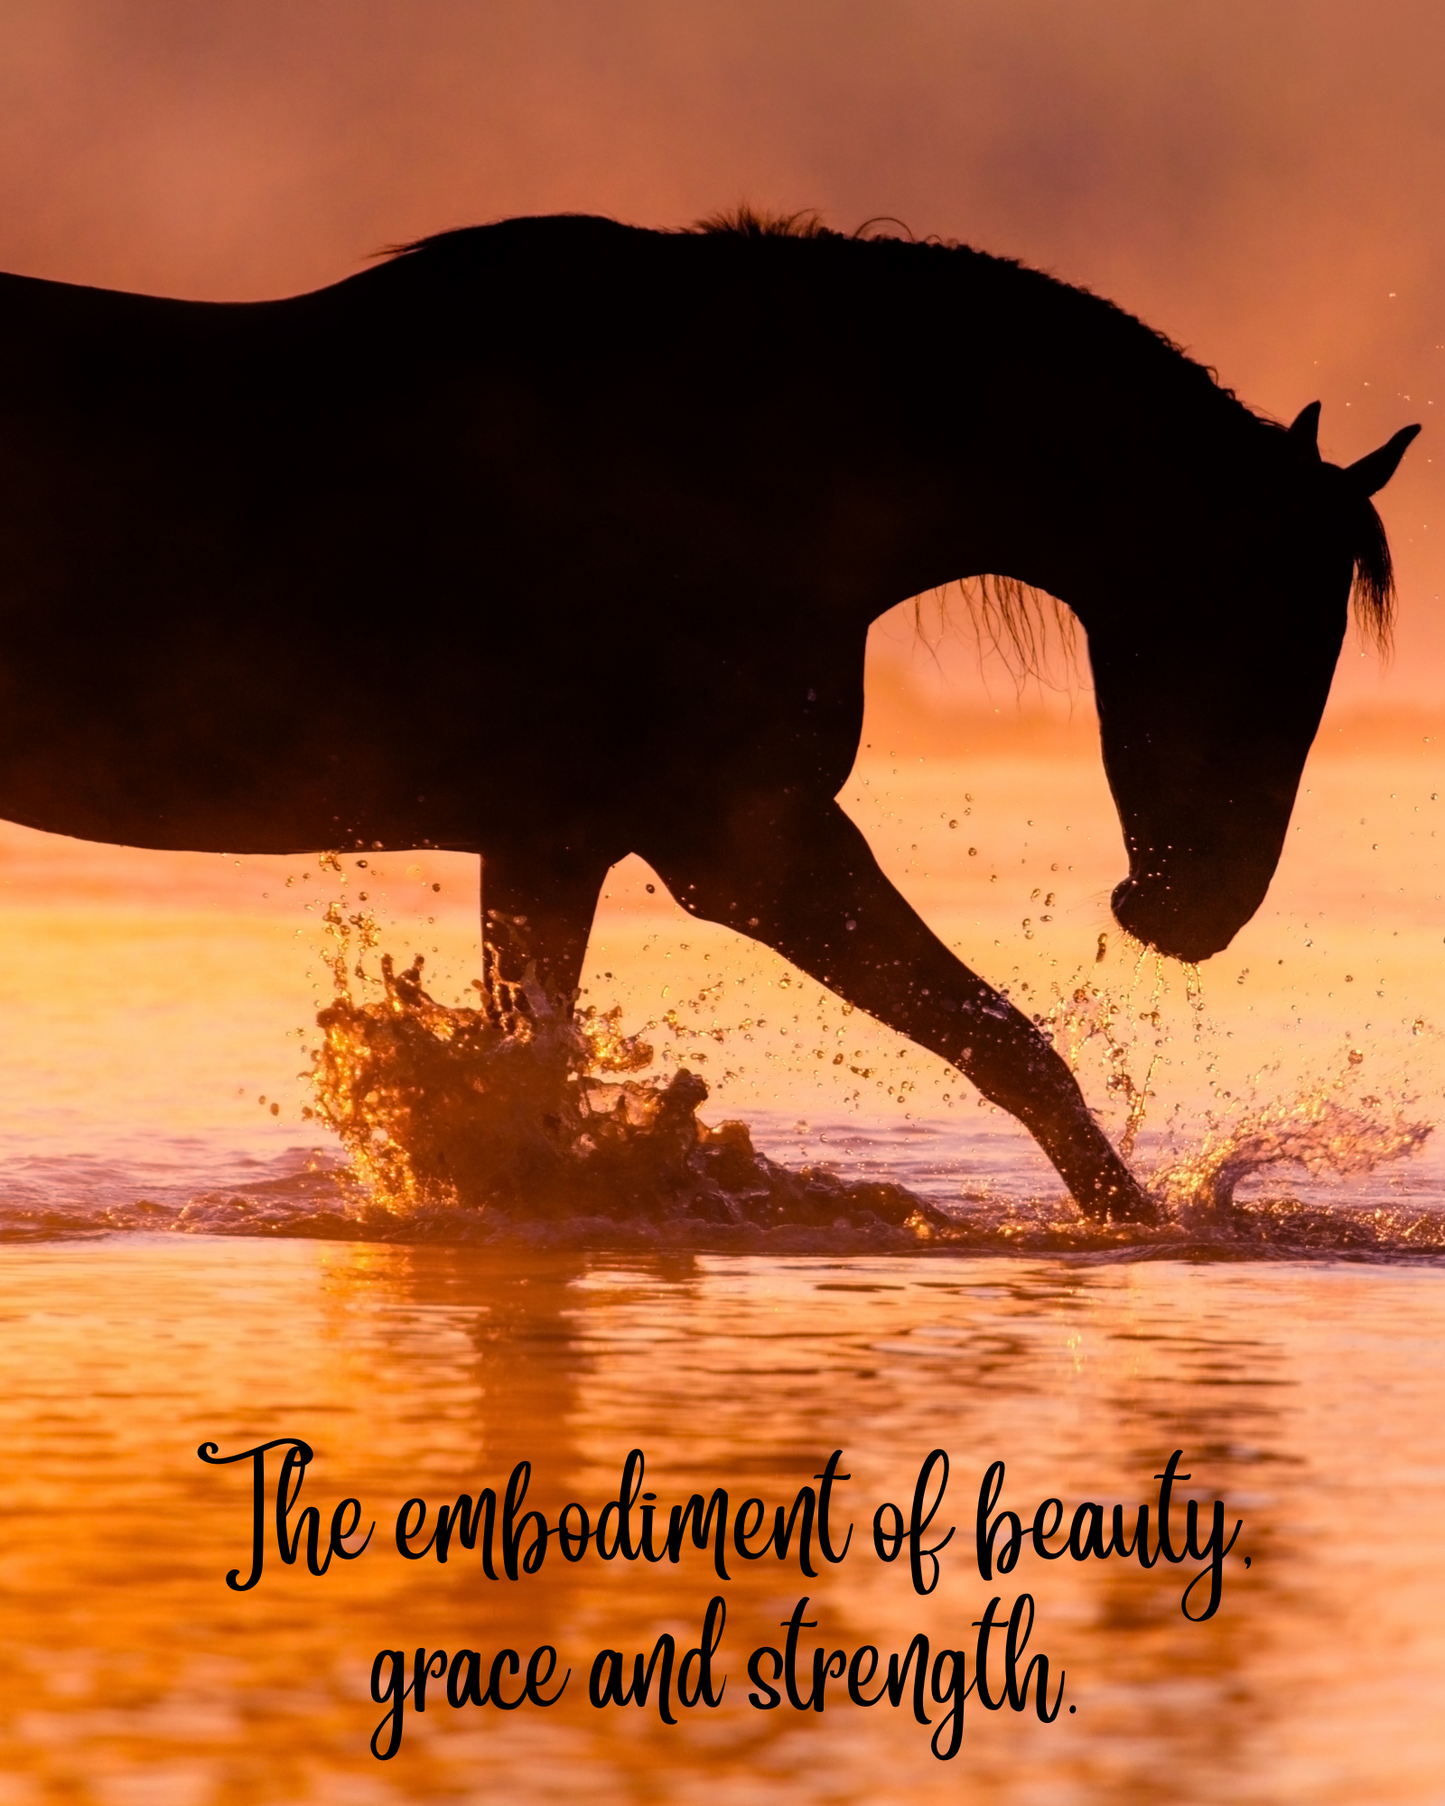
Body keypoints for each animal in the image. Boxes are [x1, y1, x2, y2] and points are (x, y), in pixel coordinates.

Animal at [0, 208, 1417, 1223]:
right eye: (1254, 633)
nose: (1192, 908)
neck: (738, 456)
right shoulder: (737, 842)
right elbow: (1008, 1046)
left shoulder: (562, 843)